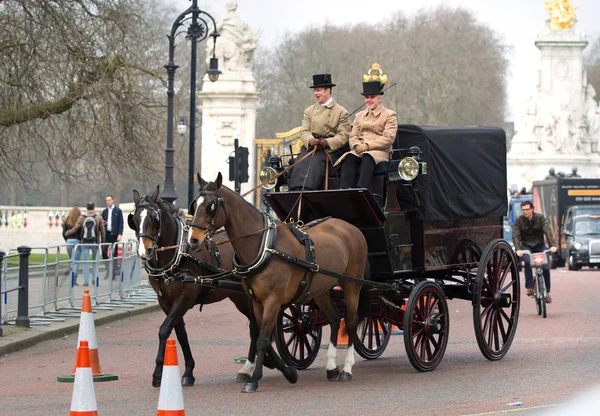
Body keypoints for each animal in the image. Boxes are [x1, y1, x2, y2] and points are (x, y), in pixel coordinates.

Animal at [127, 187, 296, 388]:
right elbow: (180, 333)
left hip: (249, 298)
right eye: (135, 220)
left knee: (256, 327)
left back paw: (264, 366)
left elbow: (164, 330)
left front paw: (158, 375)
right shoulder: (166, 302)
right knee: (255, 327)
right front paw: (188, 371)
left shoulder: (185, 297)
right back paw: (255, 366)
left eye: (154, 218)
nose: (144, 252)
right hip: (241, 298)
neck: (177, 255)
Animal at [189, 173, 370, 394]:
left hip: (351, 284)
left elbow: (262, 339)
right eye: (194, 204)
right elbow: (260, 335)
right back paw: (331, 368)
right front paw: (288, 372)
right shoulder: (257, 301)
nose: (193, 240)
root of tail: (351, 228)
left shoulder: (273, 300)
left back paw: (347, 369)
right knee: (336, 319)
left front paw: (254, 379)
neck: (264, 245)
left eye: (211, 205)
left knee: (351, 322)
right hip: (321, 289)